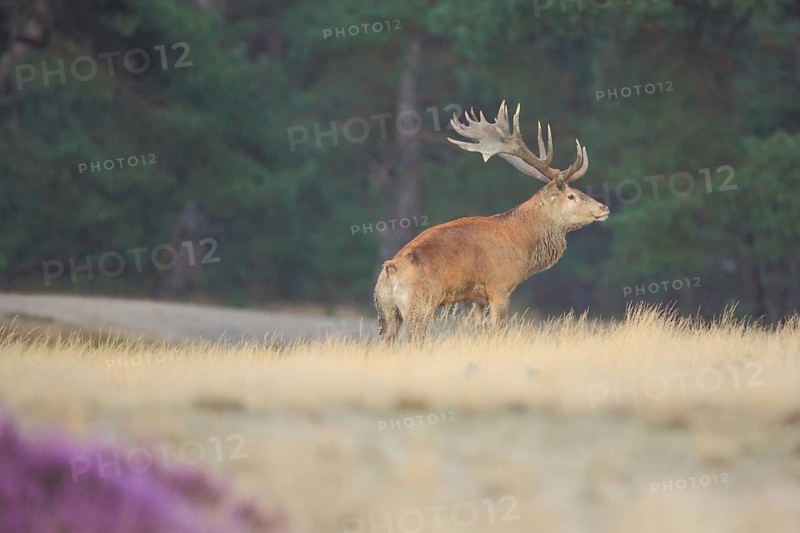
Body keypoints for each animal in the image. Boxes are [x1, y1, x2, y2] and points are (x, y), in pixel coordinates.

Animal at [373, 101, 610, 343]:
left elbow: (480, 332)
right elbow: (500, 331)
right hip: (419, 305)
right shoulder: (500, 287)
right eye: (571, 196)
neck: (522, 244)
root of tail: (391, 270)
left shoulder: (478, 298)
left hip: (386, 312)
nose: (604, 208)